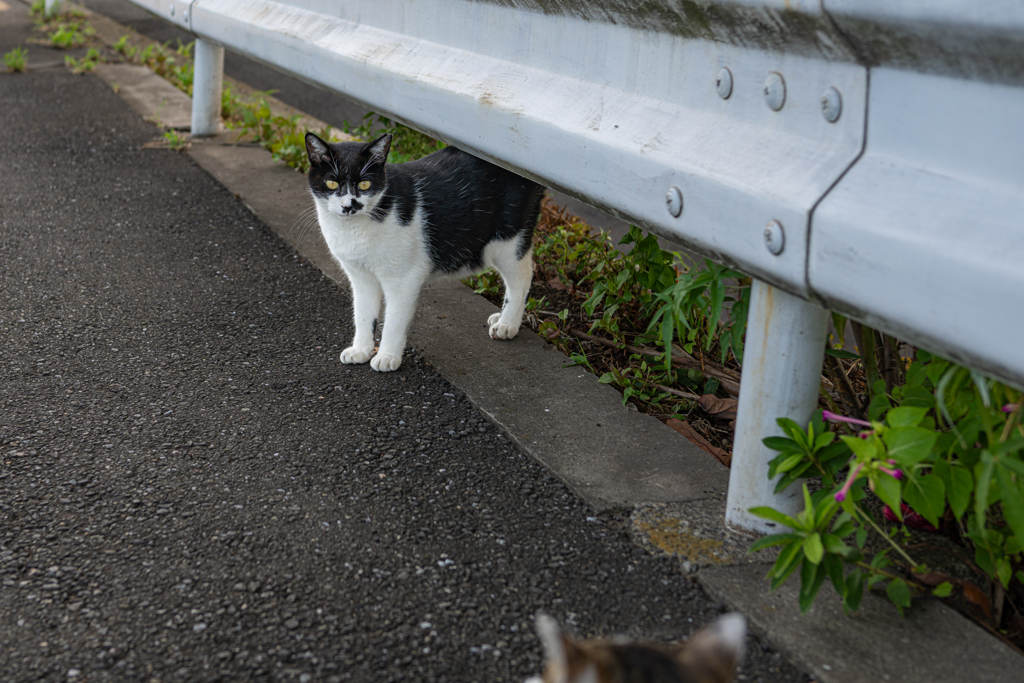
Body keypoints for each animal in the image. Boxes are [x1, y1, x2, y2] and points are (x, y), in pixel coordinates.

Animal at [301, 131, 544, 370]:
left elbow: (394, 320)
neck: (353, 230)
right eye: (331, 183)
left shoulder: (403, 279)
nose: (348, 206)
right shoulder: (360, 277)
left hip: (507, 242)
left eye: (364, 185)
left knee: (523, 278)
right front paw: (361, 350)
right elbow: (362, 315)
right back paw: (500, 317)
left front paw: (387, 356)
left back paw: (507, 324)